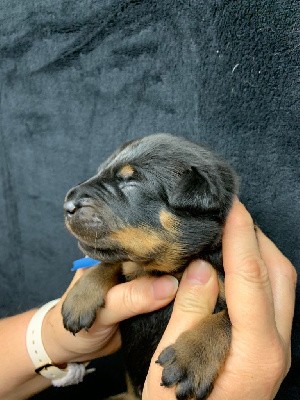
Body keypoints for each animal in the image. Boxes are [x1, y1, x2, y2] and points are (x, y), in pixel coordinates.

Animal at [62, 134, 238, 400]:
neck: (170, 267)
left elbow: (228, 319)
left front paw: (192, 356)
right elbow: (114, 261)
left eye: (131, 182)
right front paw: (81, 295)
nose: (68, 205)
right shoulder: (131, 264)